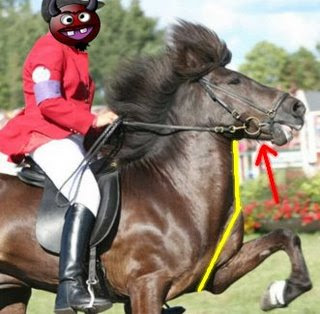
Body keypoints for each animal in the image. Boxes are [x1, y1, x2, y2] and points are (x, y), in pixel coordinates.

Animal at [0, 20, 312, 312]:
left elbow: (286, 236)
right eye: (234, 81)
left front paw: (280, 292)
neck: (177, 193)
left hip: (13, 289)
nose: (297, 108)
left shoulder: (215, 274)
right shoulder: (146, 285)